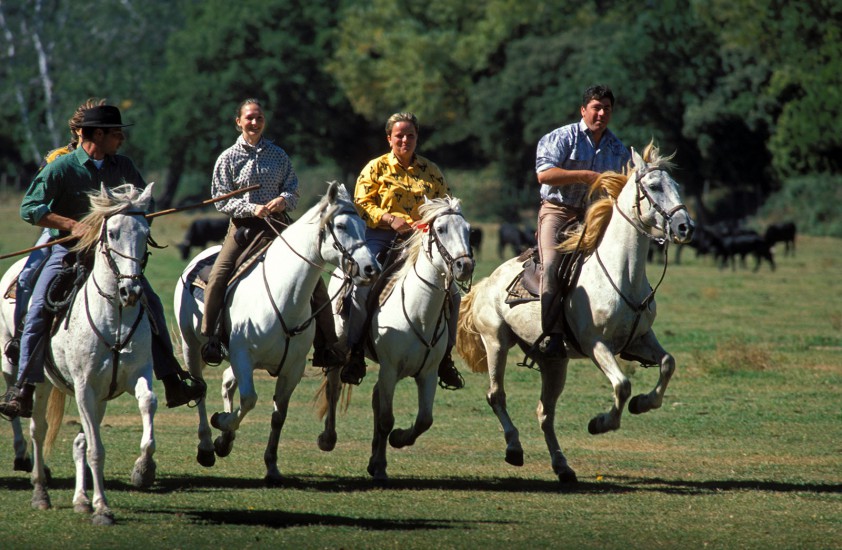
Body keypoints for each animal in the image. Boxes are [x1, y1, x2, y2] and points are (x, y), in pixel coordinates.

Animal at [0, 184, 158, 528]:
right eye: (111, 232)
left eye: (145, 232)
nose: (131, 292)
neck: (114, 317)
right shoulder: (85, 388)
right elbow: (96, 448)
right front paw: (102, 508)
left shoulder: (135, 376)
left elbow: (147, 404)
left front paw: (143, 469)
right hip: (40, 382)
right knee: (39, 430)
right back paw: (41, 491)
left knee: (80, 438)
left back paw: (80, 499)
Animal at [174, 181, 378, 484]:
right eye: (341, 225)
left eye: (364, 226)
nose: (371, 268)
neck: (284, 297)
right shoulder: (243, 356)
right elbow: (249, 400)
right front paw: (221, 424)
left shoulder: (292, 368)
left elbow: (278, 415)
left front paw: (270, 466)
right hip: (192, 346)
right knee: (200, 389)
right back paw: (207, 447)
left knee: (226, 382)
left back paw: (223, 441)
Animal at [316, 198, 472, 484]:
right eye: (441, 229)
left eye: (469, 230)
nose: (464, 266)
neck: (419, 312)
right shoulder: (389, 369)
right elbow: (386, 419)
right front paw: (384, 456)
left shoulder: (428, 373)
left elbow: (424, 419)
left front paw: (396, 442)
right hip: (339, 349)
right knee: (334, 388)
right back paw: (328, 439)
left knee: (376, 399)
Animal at [456, 144, 692, 486]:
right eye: (654, 186)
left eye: (676, 185)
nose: (685, 227)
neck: (622, 274)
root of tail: (487, 282)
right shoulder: (596, 345)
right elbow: (622, 385)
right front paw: (601, 423)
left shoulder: (641, 338)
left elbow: (667, 363)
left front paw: (643, 404)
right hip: (496, 343)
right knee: (496, 395)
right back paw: (514, 448)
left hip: (554, 361)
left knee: (544, 413)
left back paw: (562, 466)